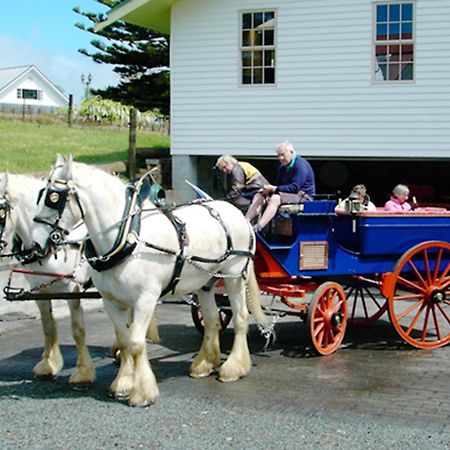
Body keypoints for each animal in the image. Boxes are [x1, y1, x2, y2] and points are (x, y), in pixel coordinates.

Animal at [0, 171, 95, 386]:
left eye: (1, 213)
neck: (48, 246)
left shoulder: (72, 291)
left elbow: (77, 329)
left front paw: (82, 373)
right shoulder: (39, 291)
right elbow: (47, 326)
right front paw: (47, 365)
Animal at [32, 156, 270, 408]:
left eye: (54, 197)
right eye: (41, 194)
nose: (36, 245)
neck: (127, 238)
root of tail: (237, 214)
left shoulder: (146, 299)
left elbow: (136, 343)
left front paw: (142, 392)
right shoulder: (111, 300)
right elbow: (124, 340)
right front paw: (123, 383)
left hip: (235, 275)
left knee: (241, 317)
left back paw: (234, 367)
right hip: (206, 282)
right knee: (213, 319)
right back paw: (204, 364)